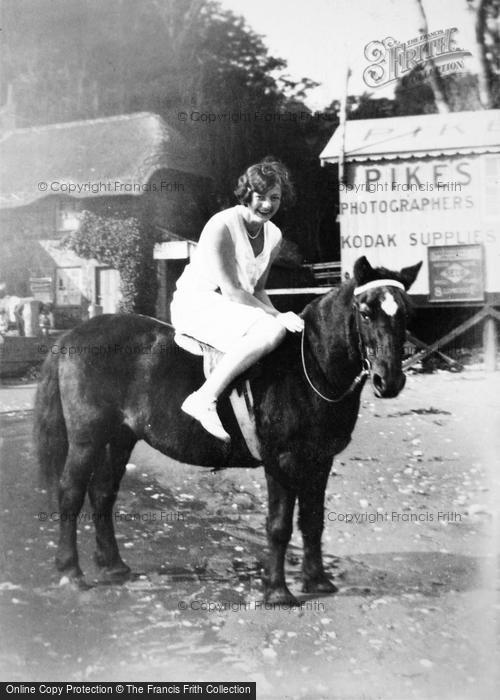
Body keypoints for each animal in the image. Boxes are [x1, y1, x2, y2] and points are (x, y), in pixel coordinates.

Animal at [33, 254, 420, 604]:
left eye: (406, 313)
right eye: (366, 312)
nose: (389, 380)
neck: (309, 364)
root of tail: (71, 336)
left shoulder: (320, 461)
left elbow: (312, 521)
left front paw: (317, 580)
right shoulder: (282, 461)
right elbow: (279, 525)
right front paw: (277, 591)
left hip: (119, 438)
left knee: (102, 494)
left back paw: (113, 565)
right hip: (87, 440)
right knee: (71, 493)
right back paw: (71, 571)